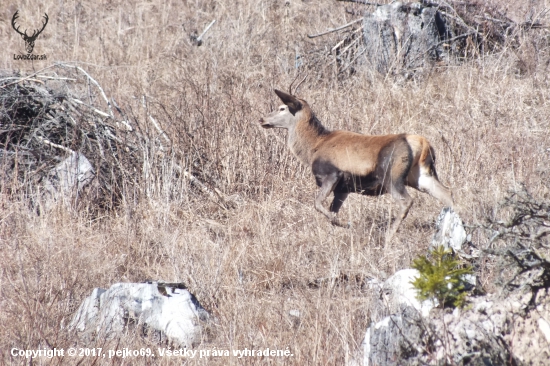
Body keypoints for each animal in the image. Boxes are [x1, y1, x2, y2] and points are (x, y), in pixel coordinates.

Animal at [260, 89, 454, 242]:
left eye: (282, 108)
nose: (262, 119)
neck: (313, 147)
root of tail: (422, 144)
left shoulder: (332, 175)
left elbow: (318, 204)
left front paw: (347, 224)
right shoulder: (343, 189)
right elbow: (331, 213)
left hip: (392, 176)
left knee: (407, 201)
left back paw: (388, 236)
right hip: (421, 176)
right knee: (447, 193)